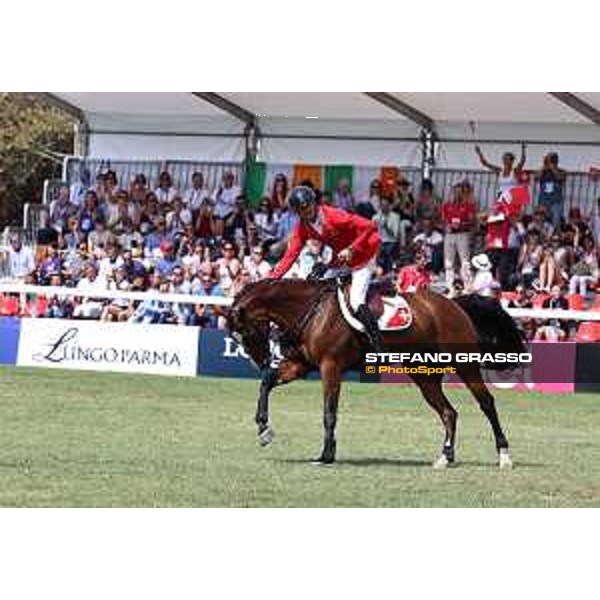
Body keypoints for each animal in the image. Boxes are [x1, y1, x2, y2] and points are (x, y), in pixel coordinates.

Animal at [230, 278, 524, 472]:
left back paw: (504, 455)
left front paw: (326, 454)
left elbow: (329, 412)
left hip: (464, 365)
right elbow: (267, 383)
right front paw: (264, 430)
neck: (310, 310)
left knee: (486, 403)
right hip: (423, 374)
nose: (260, 361)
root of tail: (453, 304)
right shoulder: (301, 365)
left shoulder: (330, 367)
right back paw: (445, 456)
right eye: (238, 337)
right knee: (448, 412)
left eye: (244, 332)